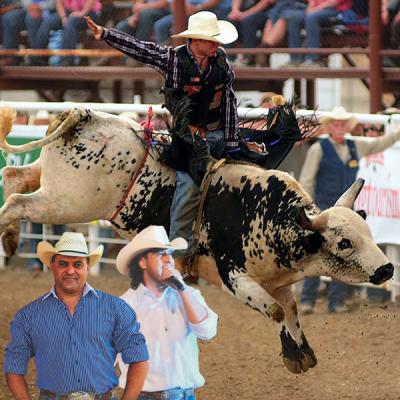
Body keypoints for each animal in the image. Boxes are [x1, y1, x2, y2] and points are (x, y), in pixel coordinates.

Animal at [0, 106, 394, 376]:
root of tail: (81, 113)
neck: (271, 215)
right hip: (68, 201)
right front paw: (293, 355)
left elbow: (291, 310)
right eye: (344, 242)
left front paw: (303, 351)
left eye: (368, 233)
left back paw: (10, 239)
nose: (387, 269)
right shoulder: (234, 277)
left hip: (50, 182)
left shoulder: (276, 281)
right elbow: (276, 311)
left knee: (14, 175)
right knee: (17, 201)